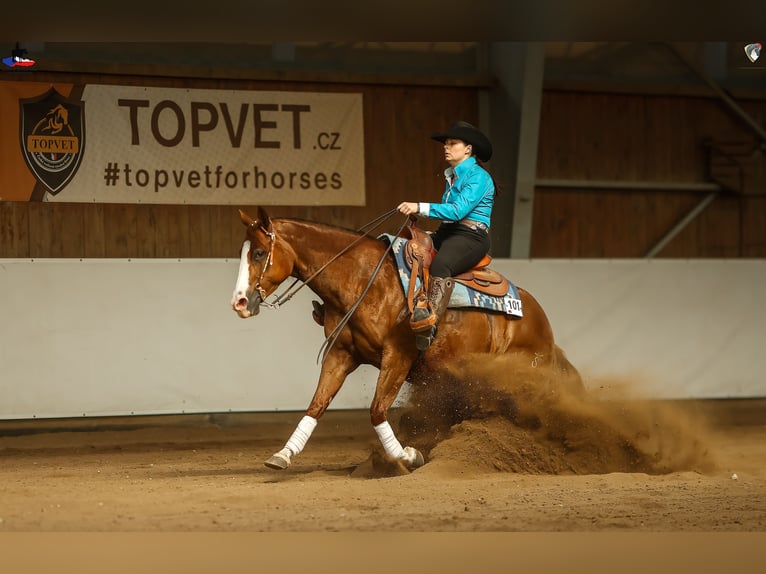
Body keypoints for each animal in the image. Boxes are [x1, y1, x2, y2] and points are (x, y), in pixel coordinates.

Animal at [231, 206, 581, 471]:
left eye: (259, 253)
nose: (240, 302)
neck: (365, 280)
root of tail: (539, 320)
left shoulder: (398, 356)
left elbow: (376, 409)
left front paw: (408, 456)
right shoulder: (342, 354)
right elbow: (316, 406)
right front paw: (283, 454)